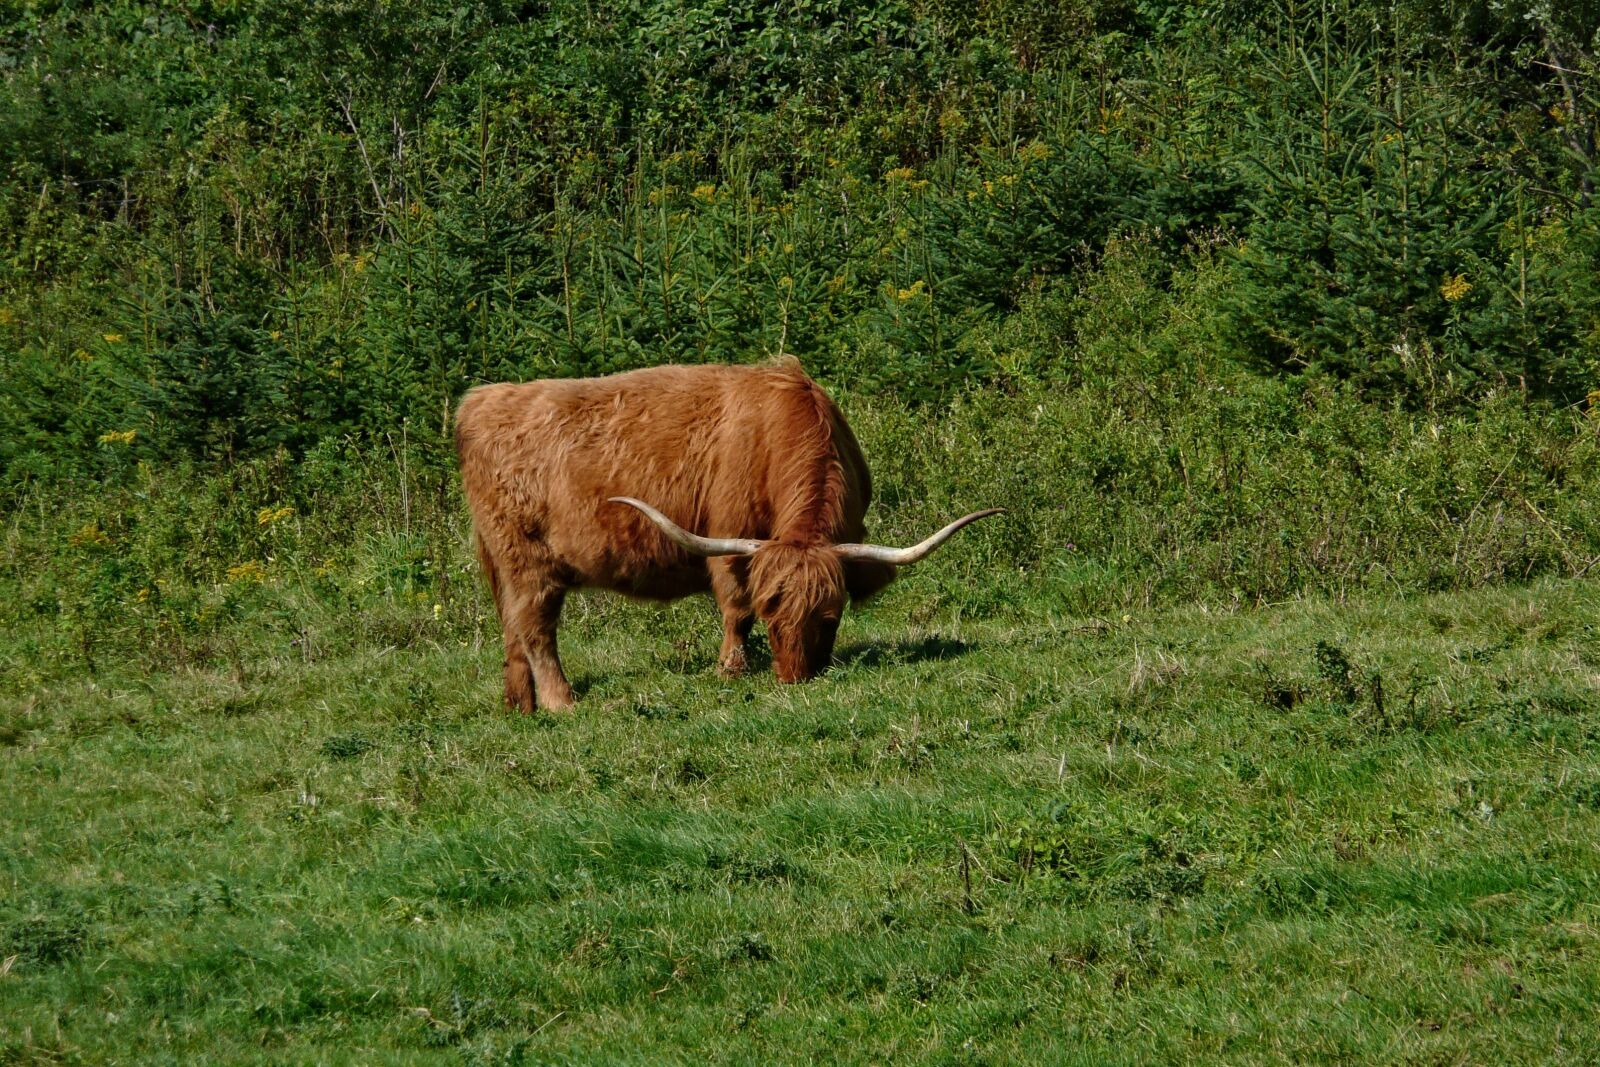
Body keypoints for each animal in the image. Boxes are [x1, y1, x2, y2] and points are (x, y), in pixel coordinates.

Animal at [454, 355, 998, 713]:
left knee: (513, 628)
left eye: (828, 616)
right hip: (527, 561)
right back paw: (561, 702)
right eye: (771, 610)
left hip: (508, 565)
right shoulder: (729, 542)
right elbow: (736, 610)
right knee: (536, 629)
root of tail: (482, 400)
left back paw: (520, 703)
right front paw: (729, 670)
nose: (793, 678)